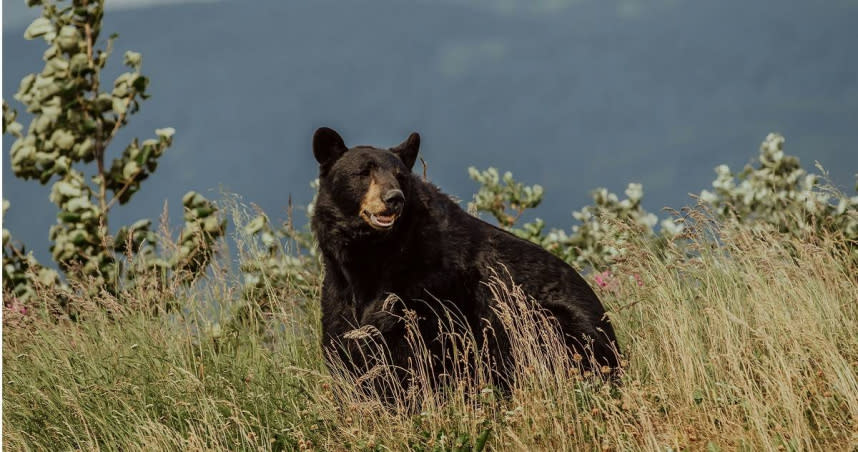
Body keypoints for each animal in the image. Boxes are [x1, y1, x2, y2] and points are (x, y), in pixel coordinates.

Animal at [310, 127, 620, 392]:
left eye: (400, 176)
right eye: (363, 172)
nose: (393, 198)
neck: (372, 254)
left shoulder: (429, 285)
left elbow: (414, 347)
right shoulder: (339, 288)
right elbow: (343, 341)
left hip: (548, 321)